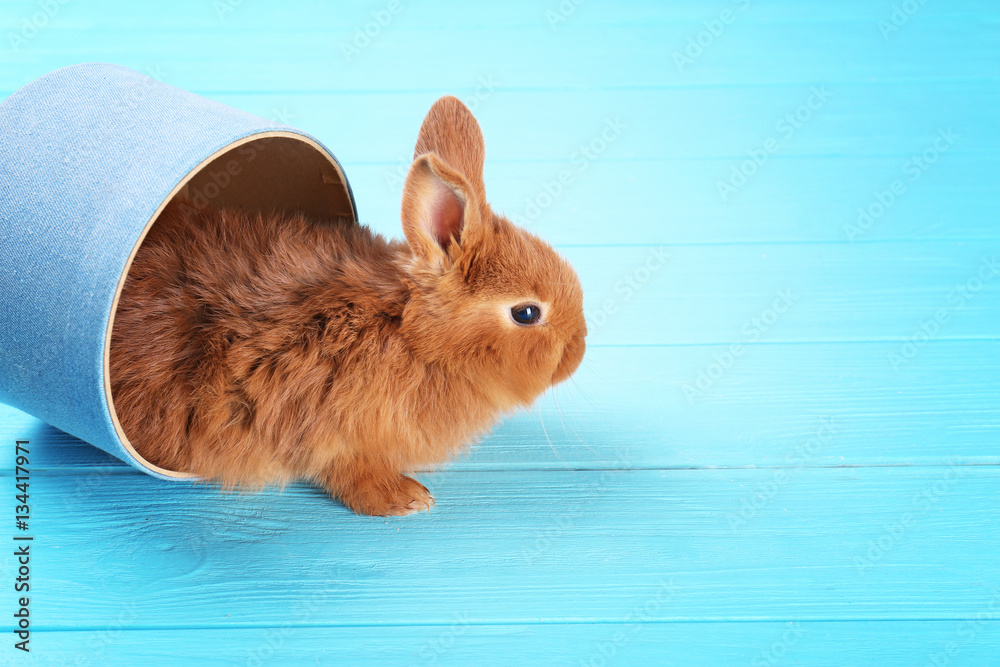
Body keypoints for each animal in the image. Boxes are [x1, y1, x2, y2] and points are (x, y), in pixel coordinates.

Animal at [109, 95, 586, 516]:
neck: (410, 337)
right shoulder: (328, 431)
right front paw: (405, 500)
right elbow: (349, 471)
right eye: (527, 313)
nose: (578, 351)